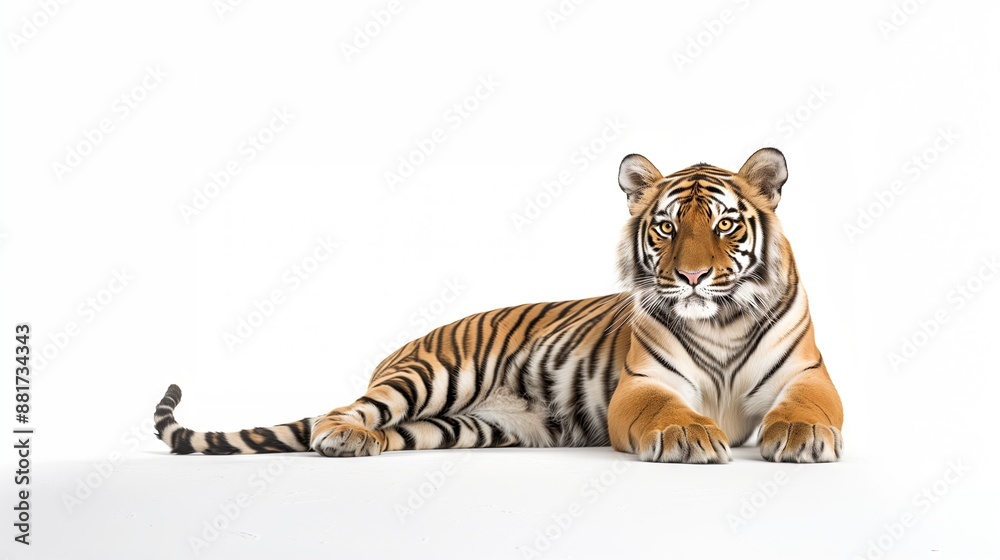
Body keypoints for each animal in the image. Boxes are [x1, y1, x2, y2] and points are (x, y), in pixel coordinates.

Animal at [154, 148, 844, 463]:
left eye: (725, 225)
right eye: (668, 228)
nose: (694, 277)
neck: (720, 322)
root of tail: (399, 350)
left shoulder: (808, 375)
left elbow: (808, 407)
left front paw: (801, 436)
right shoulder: (642, 385)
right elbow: (666, 411)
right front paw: (688, 434)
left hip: (467, 425)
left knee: (398, 430)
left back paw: (366, 444)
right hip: (430, 378)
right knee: (339, 412)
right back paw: (343, 438)